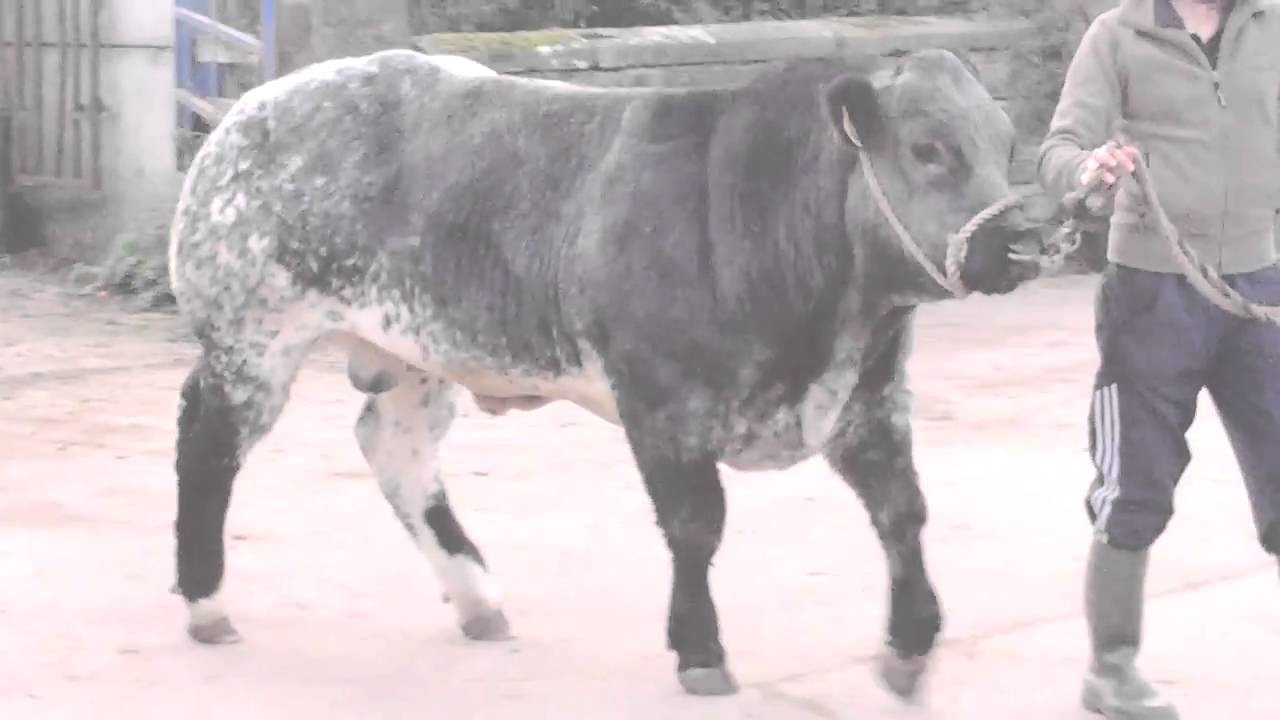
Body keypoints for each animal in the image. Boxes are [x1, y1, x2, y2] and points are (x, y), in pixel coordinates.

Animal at [167, 47, 1047, 701]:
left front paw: (911, 645)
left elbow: (903, 512)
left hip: (415, 356)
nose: (1020, 244)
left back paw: (478, 598)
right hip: (252, 339)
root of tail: (251, 108)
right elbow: (696, 526)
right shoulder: (660, 405)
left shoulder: (870, 402)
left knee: (396, 452)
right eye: (930, 148)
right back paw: (206, 602)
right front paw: (700, 651)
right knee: (206, 446)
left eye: (1006, 145)